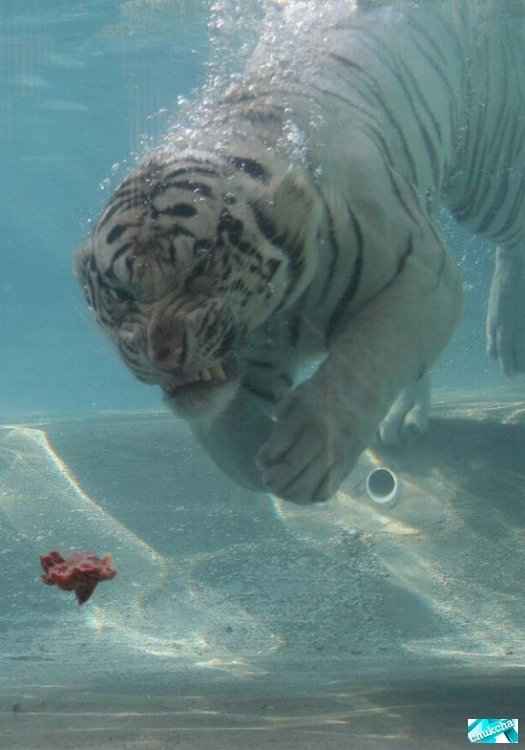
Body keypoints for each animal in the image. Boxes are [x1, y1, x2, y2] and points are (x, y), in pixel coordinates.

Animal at [75, 0, 525, 505]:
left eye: (203, 266)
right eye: (119, 293)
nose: (164, 355)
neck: (280, 311)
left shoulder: (423, 275)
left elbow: (365, 360)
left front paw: (308, 453)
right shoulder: (257, 360)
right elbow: (221, 432)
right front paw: (255, 465)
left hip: (490, 182)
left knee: (513, 233)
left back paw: (507, 334)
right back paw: (405, 419)